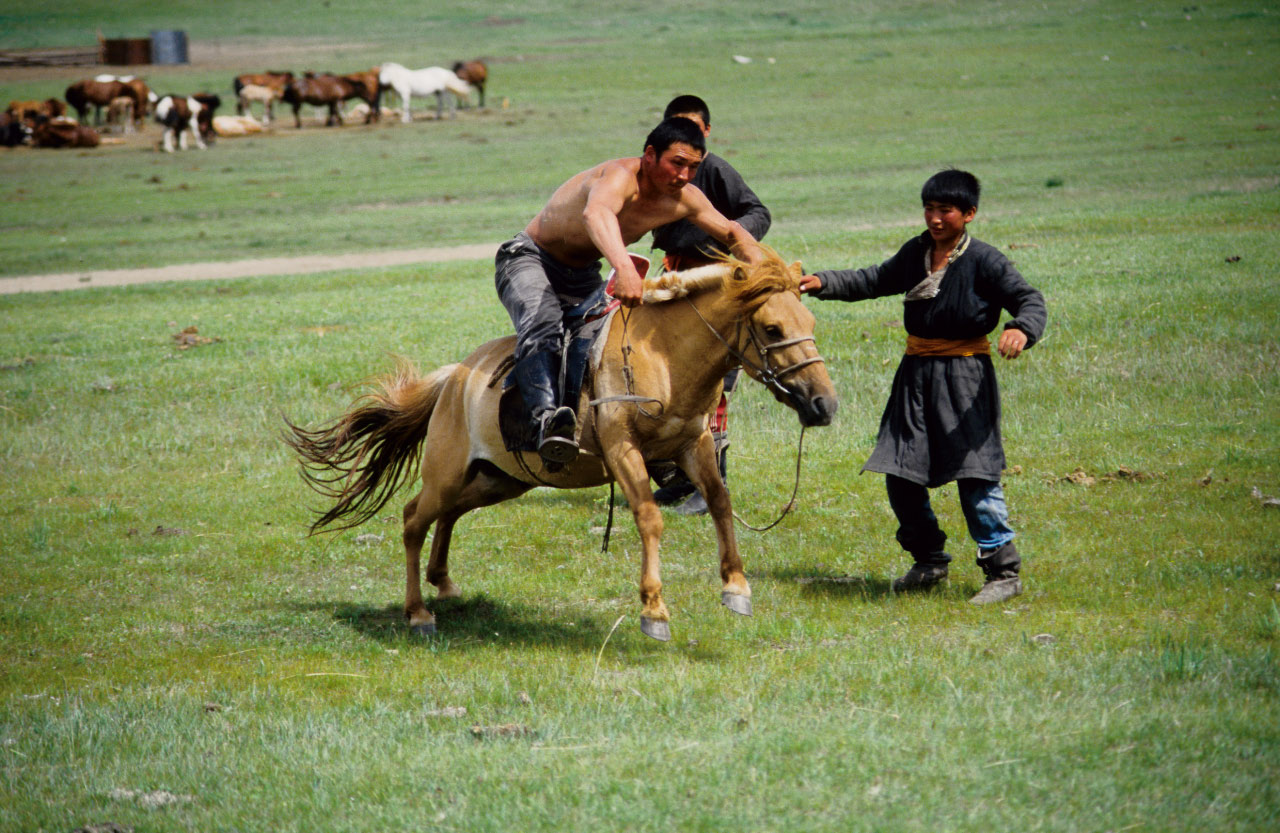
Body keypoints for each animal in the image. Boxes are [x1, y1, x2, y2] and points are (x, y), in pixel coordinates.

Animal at [284, 250, 834, 642]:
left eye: (810, 325)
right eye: (772, 328)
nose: (824, 403)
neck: (663, 355)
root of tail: (455, 378)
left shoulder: (694, 443)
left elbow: (719, 501)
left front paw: (736, 587)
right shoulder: (623, 450)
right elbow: (649, 518)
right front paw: (654, 610)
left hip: (500, 480)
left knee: (449, 514)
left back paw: (445, 584)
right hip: (448, 473)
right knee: (413, 518)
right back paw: (418, 612)